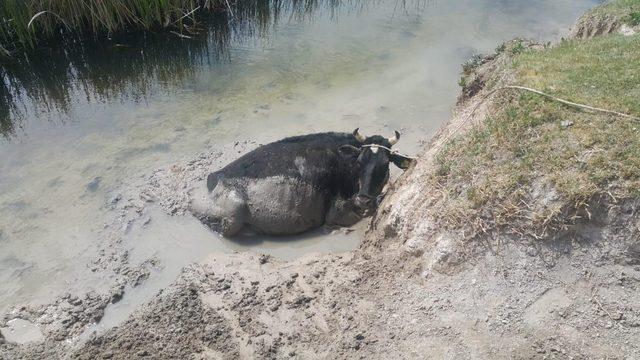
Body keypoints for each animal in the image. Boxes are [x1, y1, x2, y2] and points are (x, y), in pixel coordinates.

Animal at [189, 129, 416, 236]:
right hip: (233, 213)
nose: (363, 200)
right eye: (359, 162)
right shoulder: (338, 212)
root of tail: (214, 177)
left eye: (385, 165)